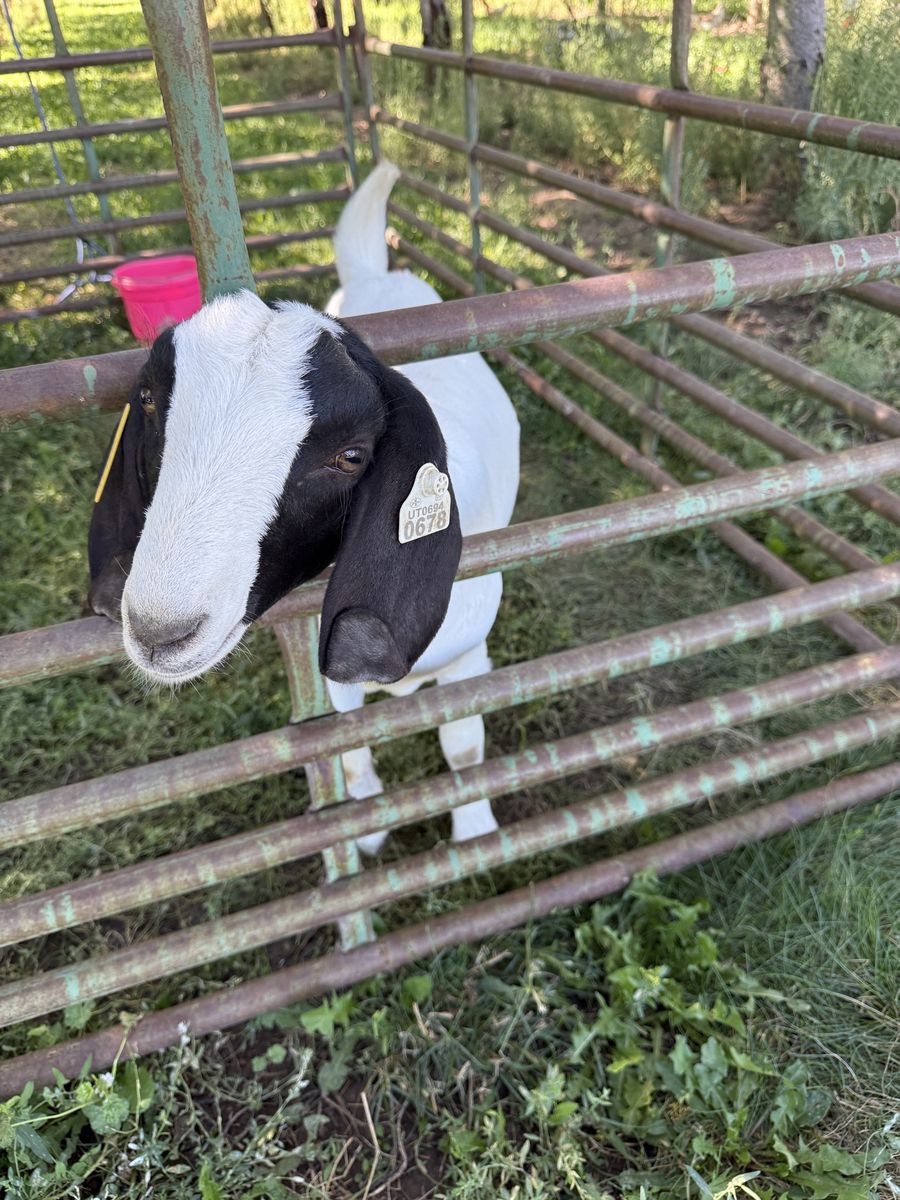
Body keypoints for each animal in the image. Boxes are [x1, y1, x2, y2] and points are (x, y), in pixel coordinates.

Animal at [88, 161, 520, 851]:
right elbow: (343, 740)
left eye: (350, 455)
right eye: (151, 402)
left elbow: (463, 742)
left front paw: (475, 829)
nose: (160, 632)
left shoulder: (470, 656)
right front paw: (364, 824)